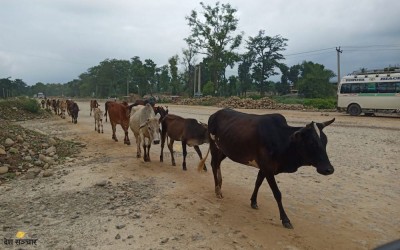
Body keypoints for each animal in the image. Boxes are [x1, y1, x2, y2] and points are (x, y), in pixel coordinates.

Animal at [198, 108, 336, 229]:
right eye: (312, 142)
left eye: (325, 141)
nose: (329, 169)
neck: (282, 140)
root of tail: (214, 114)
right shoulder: (268, 169)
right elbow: (277, 193)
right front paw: (285, 219)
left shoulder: (264, 168)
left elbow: (258, 182)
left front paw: (253, 201)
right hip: (214, 146)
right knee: (214, 164)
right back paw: (217, 190)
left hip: (224, 150)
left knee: (218, 164)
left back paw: (220, 185)